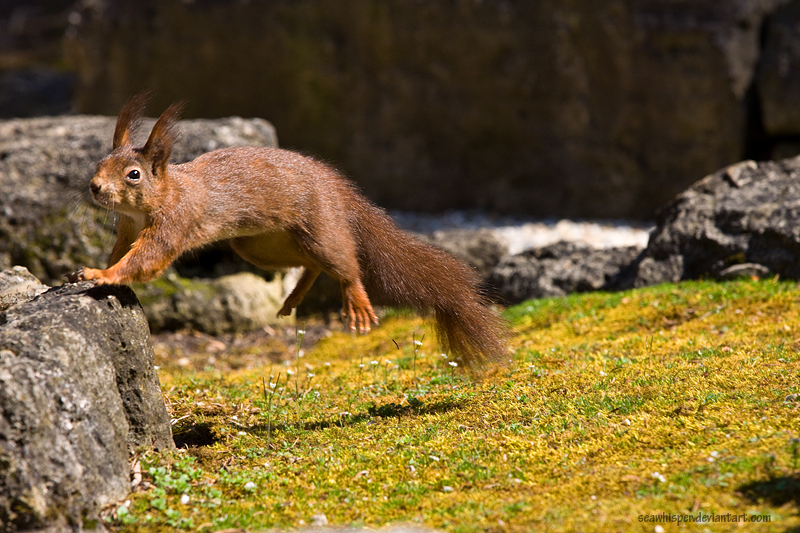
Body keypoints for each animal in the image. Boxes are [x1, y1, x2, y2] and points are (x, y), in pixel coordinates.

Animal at [69, 95, 506, 366]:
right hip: (258, 245)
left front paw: (102, 274)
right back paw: (293, 296)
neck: (166, 193)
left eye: (134, 174)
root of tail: (335, 185)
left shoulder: (173, 223)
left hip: (320, 227)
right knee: (309, 265)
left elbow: (145, 258)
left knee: (342, 261)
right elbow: (123, 251)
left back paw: (357, 300)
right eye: (101, 162)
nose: (94, 187)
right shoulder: (128, 227)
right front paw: (90, 269)